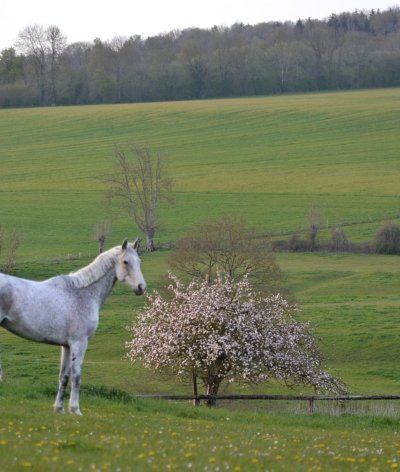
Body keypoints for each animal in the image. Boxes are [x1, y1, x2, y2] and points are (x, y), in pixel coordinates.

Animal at [0, 240, 146, 412]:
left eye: (139, 261)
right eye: (125, 262)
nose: (141, 287)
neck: (82, 294)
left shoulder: (67, 346)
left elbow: (64, 377)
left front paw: (59, 408)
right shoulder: (79, 342)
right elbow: (76, 377)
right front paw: (75, 409)